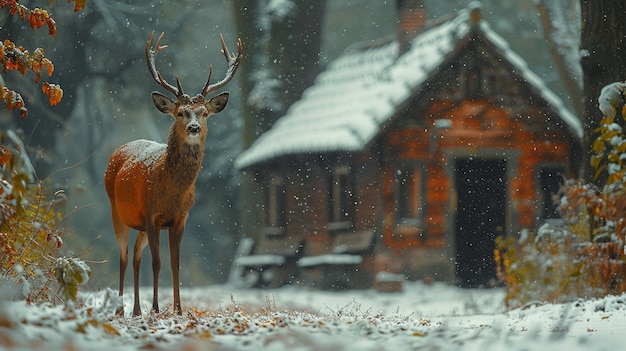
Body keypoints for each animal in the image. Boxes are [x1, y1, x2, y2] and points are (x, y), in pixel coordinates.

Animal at [103, 31, 240, 318]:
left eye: (205, 112)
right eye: (180, 112)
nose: (194, 127)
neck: (172, 189)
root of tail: (118, 151)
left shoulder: (179, 218)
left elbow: (175, 264)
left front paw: (177, 309)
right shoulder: (152, 214)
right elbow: (158, 263)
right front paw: (157, 308)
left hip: (139, 224)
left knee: (136, 256)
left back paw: (136, 310)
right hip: (116, 211)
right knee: (123, 257)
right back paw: (121, 310)